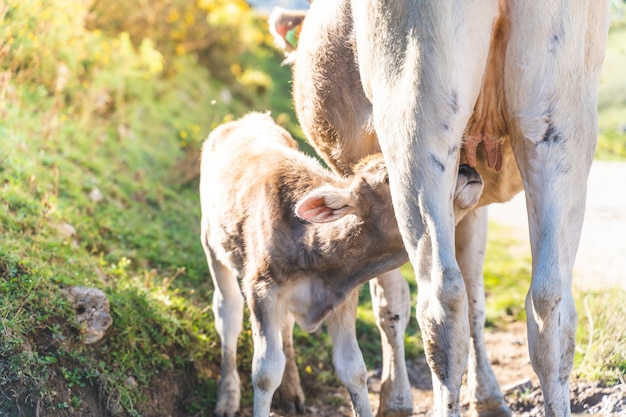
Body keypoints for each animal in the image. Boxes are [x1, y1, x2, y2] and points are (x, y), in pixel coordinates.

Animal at [200, 112, 482, 416]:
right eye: (388, 179)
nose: (466, 169)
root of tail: (245, 119)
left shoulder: (342, 297)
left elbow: (353, 369)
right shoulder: (262, 289)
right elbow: (265, 372)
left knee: (285, 327)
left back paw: (293, 392)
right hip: (212, 245)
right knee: (228, 315)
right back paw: (227, 397)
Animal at [270, 0, 608, 416]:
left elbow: (390, 303)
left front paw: (395, 399)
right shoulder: (473, 202)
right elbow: (478, 299)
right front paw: (488, 396)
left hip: (415, 108)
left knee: (442, 301)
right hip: (558, 122)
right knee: (549, 303)